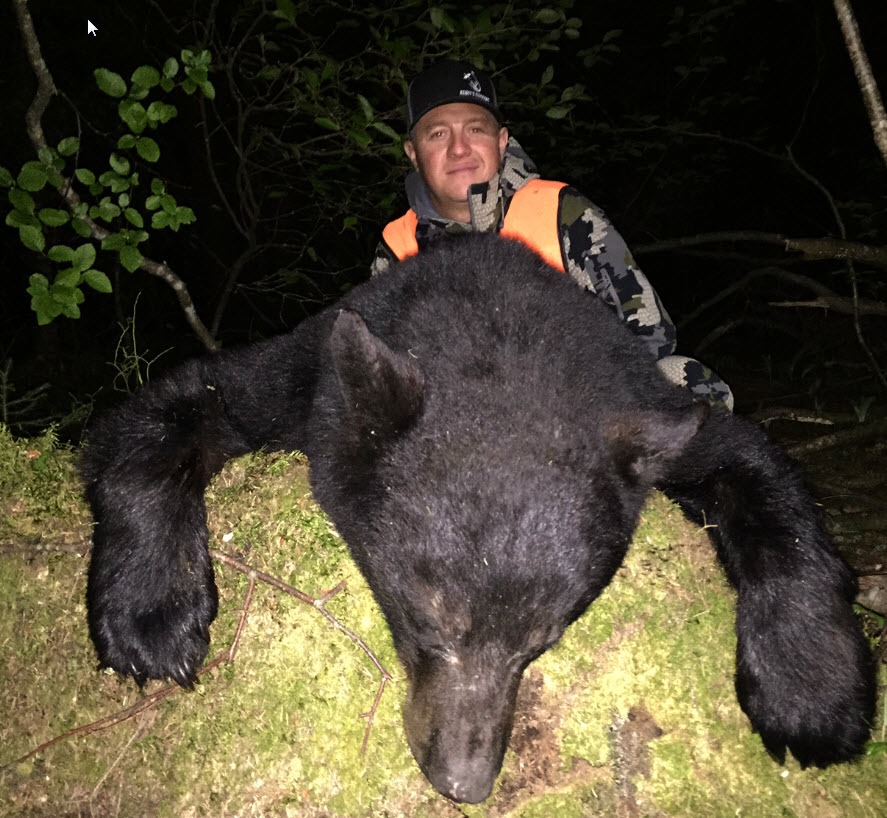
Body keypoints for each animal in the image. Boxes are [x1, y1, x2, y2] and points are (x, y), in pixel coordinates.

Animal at [81, 233, 875, 804]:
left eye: (542, 643)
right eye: (429, 622)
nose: (463, 782)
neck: (495, 328)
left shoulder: (644, 408)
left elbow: (755, 469)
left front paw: (810, 693)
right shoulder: (309, 381)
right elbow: (174, 407)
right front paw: (153, 617)